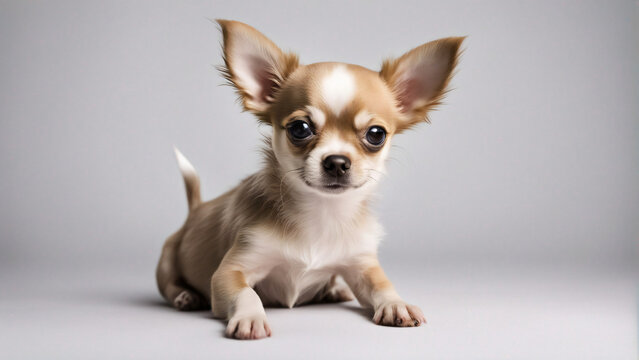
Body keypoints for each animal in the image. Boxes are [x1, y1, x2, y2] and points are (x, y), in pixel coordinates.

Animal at [157, 20, 462, 340]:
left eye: (376, 134)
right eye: (300, 129)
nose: (337, 162)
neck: (322, 212)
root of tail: (195, 211)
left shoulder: (362, 265)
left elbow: (383, 285)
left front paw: (396, 304)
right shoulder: (230, 271)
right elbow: (247, 293)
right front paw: (250, 317)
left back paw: (333, 290)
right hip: (166, 261)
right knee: (169, 285)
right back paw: (186, 296)